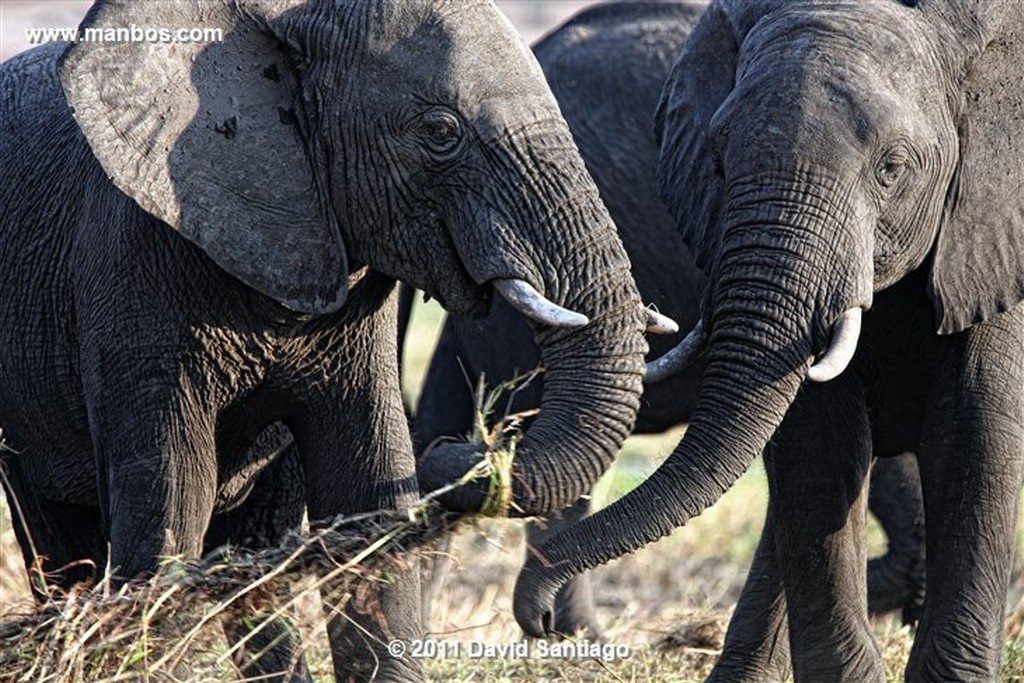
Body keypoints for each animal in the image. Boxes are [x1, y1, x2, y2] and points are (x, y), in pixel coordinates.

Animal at [0, 1, 651, 679]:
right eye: (441, 132)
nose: (461, 452)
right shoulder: (133, 256)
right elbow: (174, 496)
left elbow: (366, 479)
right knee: (59, 539)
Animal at [512, 0, 1024, 679]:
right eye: (718, 159)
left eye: (893, 168)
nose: (538, 616)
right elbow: (819, 446)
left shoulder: (991, 226)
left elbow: (974, 435)